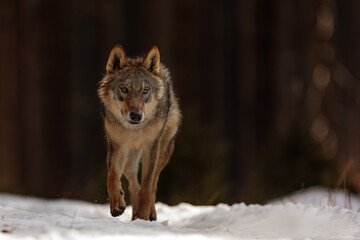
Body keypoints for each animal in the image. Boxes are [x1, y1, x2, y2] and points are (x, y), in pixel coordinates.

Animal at [97, 45, 180, 221]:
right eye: (124, 89)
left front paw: (143, 215)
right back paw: (133, 214)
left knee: (153, 182)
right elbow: (112, 176)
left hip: (163, 152)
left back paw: (150, 214)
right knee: (133, 183)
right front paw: (117, 205)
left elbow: (147, 186)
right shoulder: (118, 147)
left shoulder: (151, 147)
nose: (136, 115)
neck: (134, 130)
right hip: (130, 159)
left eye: (145, 90)